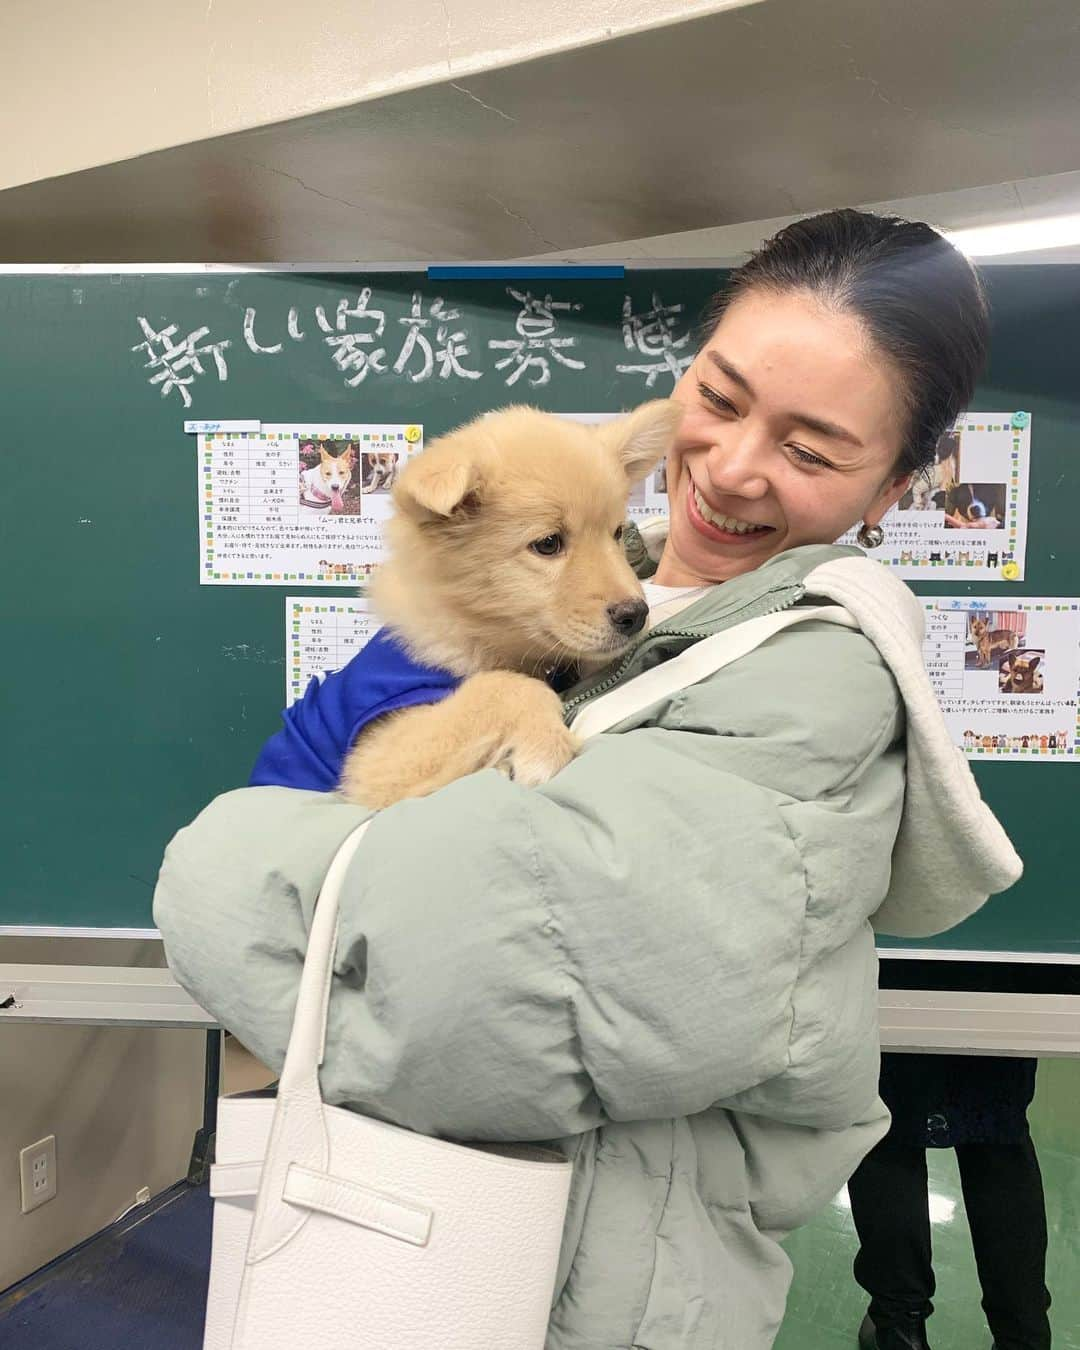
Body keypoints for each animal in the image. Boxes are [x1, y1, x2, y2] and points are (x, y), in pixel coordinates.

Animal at [341, 394, 680, 804]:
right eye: (548, 543)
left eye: (616, 533)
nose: (636, 614)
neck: (471, 628)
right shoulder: (376, 760)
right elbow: (500, 685)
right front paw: (545, 747)